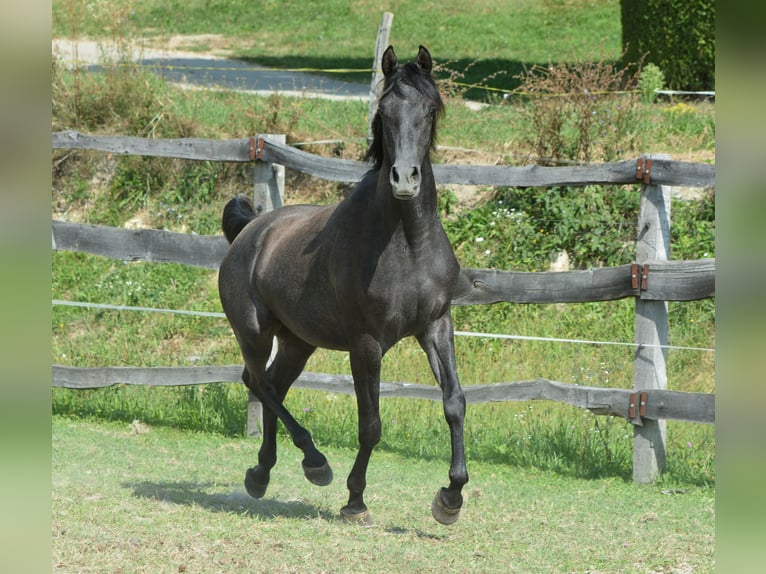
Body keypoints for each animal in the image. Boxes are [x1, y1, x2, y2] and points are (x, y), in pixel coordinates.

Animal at [216, 46, 468, 528]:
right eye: (384, 113)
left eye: (429, 110)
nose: (404, 179)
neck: (406, 243)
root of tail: (249, 231)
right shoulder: (366, 343)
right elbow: (370, 424)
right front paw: (355, 501)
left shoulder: (436, 326)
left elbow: (454, 402)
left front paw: (451, 498)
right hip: (254, 333)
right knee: (258, 381)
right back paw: (314, 463)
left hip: (298, 341)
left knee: (273, 384)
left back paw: (261, 473)